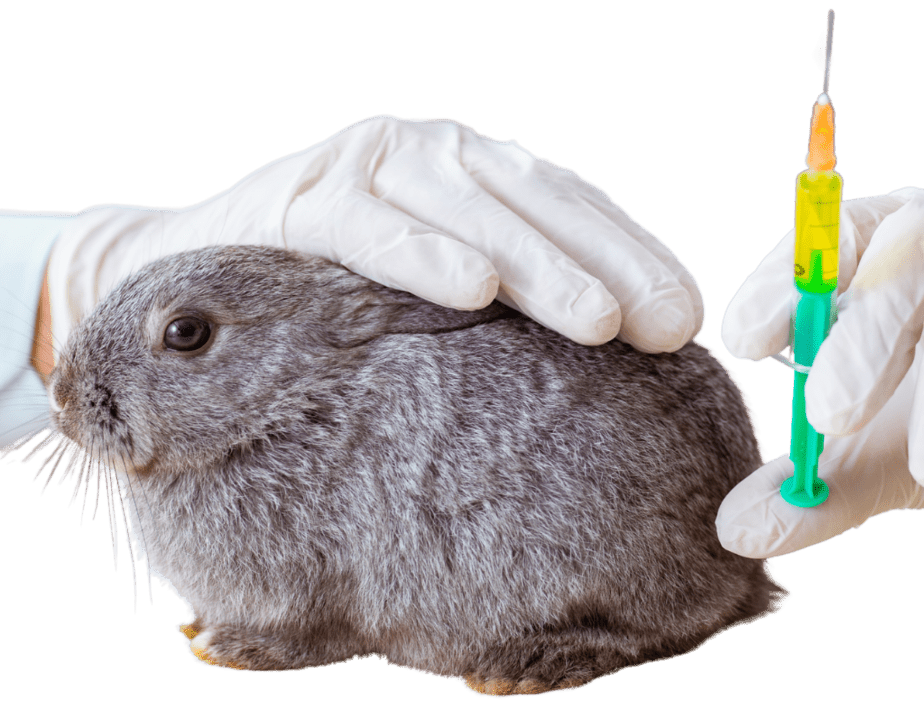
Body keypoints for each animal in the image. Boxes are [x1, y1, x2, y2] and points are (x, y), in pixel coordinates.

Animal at [42, 243, 787, 694]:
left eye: (186, 333)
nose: (61, 396)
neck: (282, 406)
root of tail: (743, 565)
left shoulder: (314, 586)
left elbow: (307, 637)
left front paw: (225, 647)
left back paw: (530, 663)